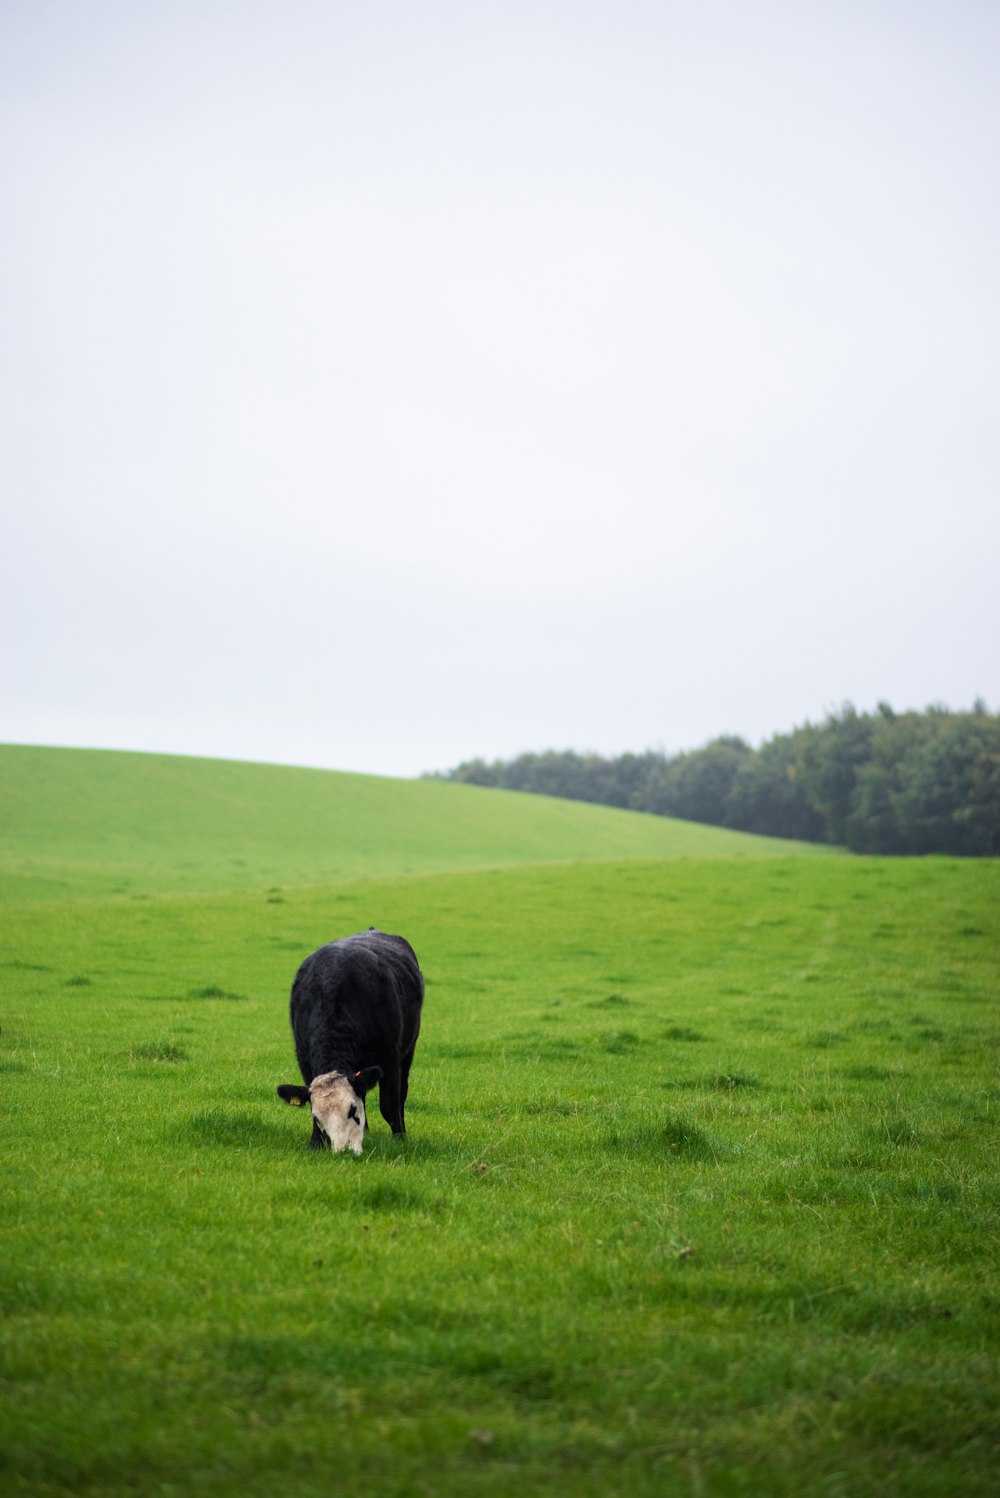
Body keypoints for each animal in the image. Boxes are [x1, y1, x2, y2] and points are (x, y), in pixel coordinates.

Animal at [275, 922, 425, 1156]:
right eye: (318, 1118)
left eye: (353, 1111)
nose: (344, 1149)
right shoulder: (303, 1057)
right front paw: (315, 1143)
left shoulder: (389, 1058)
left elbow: (389, 1104)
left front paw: (400, 1139)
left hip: (408, 1051)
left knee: (401, 1094)